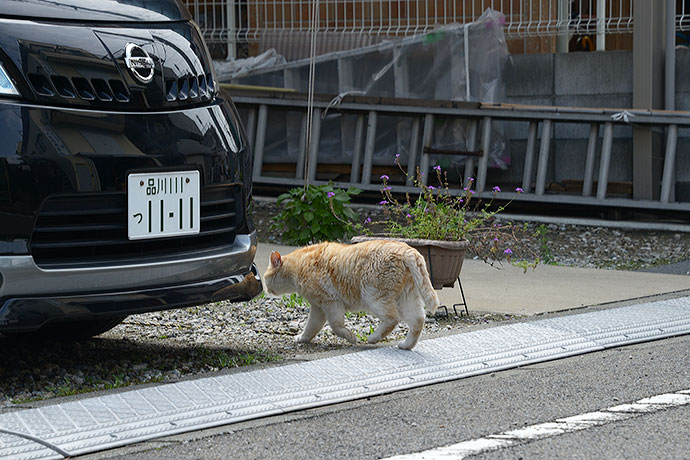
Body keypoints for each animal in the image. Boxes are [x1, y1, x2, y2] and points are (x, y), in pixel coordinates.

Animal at [260, 239, 438, 350]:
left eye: (265, 276)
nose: (265, 288)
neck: (299, 265)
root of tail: (407, 250)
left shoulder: (331, 303)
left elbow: (337, 326)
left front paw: (351, 337)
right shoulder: (318, 308)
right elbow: (311, 327)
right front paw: (302, 339)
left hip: (374, 297)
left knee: (392, 318)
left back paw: (373, 338)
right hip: (407, 298)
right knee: (418, 320)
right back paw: (406, 345)